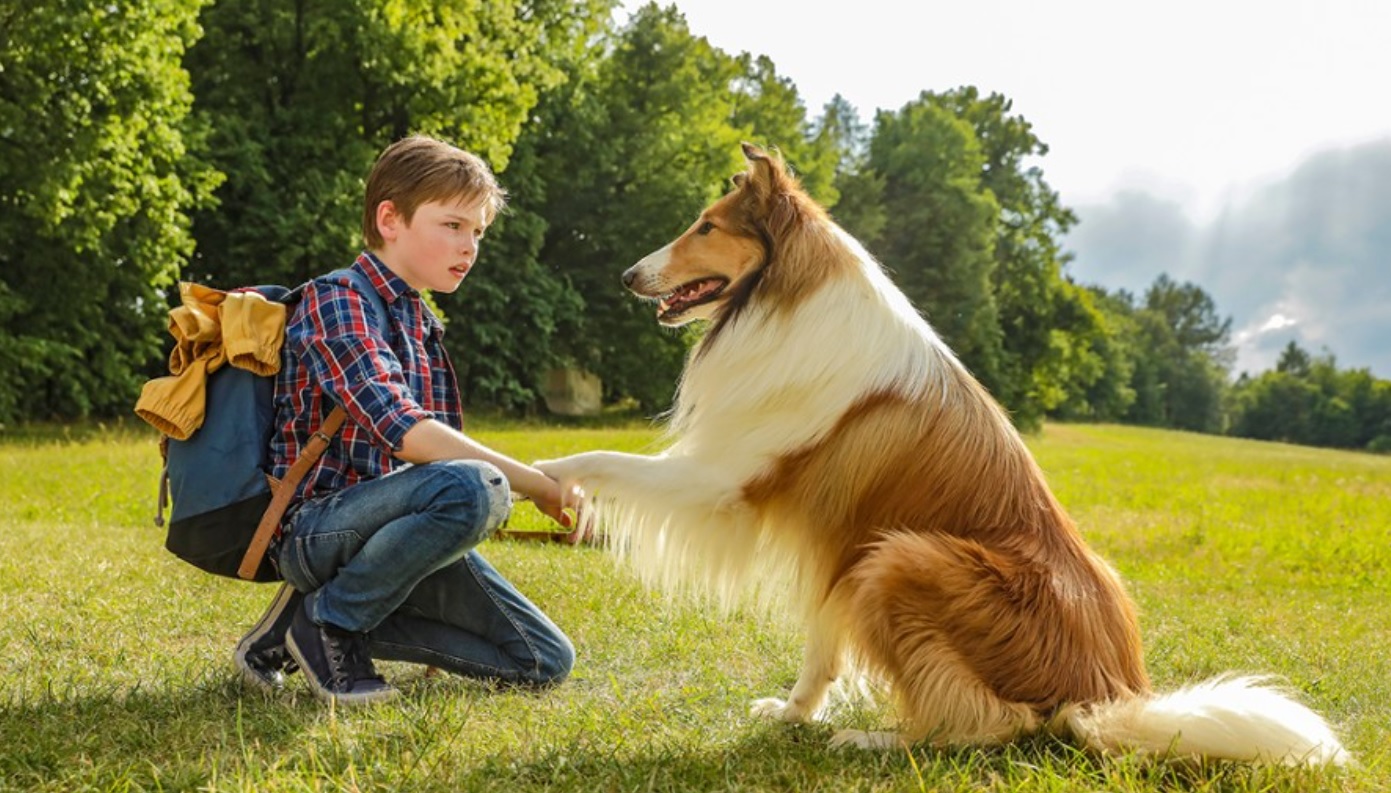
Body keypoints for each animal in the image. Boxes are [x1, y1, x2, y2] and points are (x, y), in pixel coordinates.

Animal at [531, 143, 1346, 767]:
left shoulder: (722, 482)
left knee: (990, 725)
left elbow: (600, 458)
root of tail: (1104, 692)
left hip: (900, 558)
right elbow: (819, 649)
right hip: (888, 561)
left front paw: (541, 477)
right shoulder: (836, 549)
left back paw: (872, 739)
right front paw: (792, 714)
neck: (785, 300)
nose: (626, 276)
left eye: (705, 226)